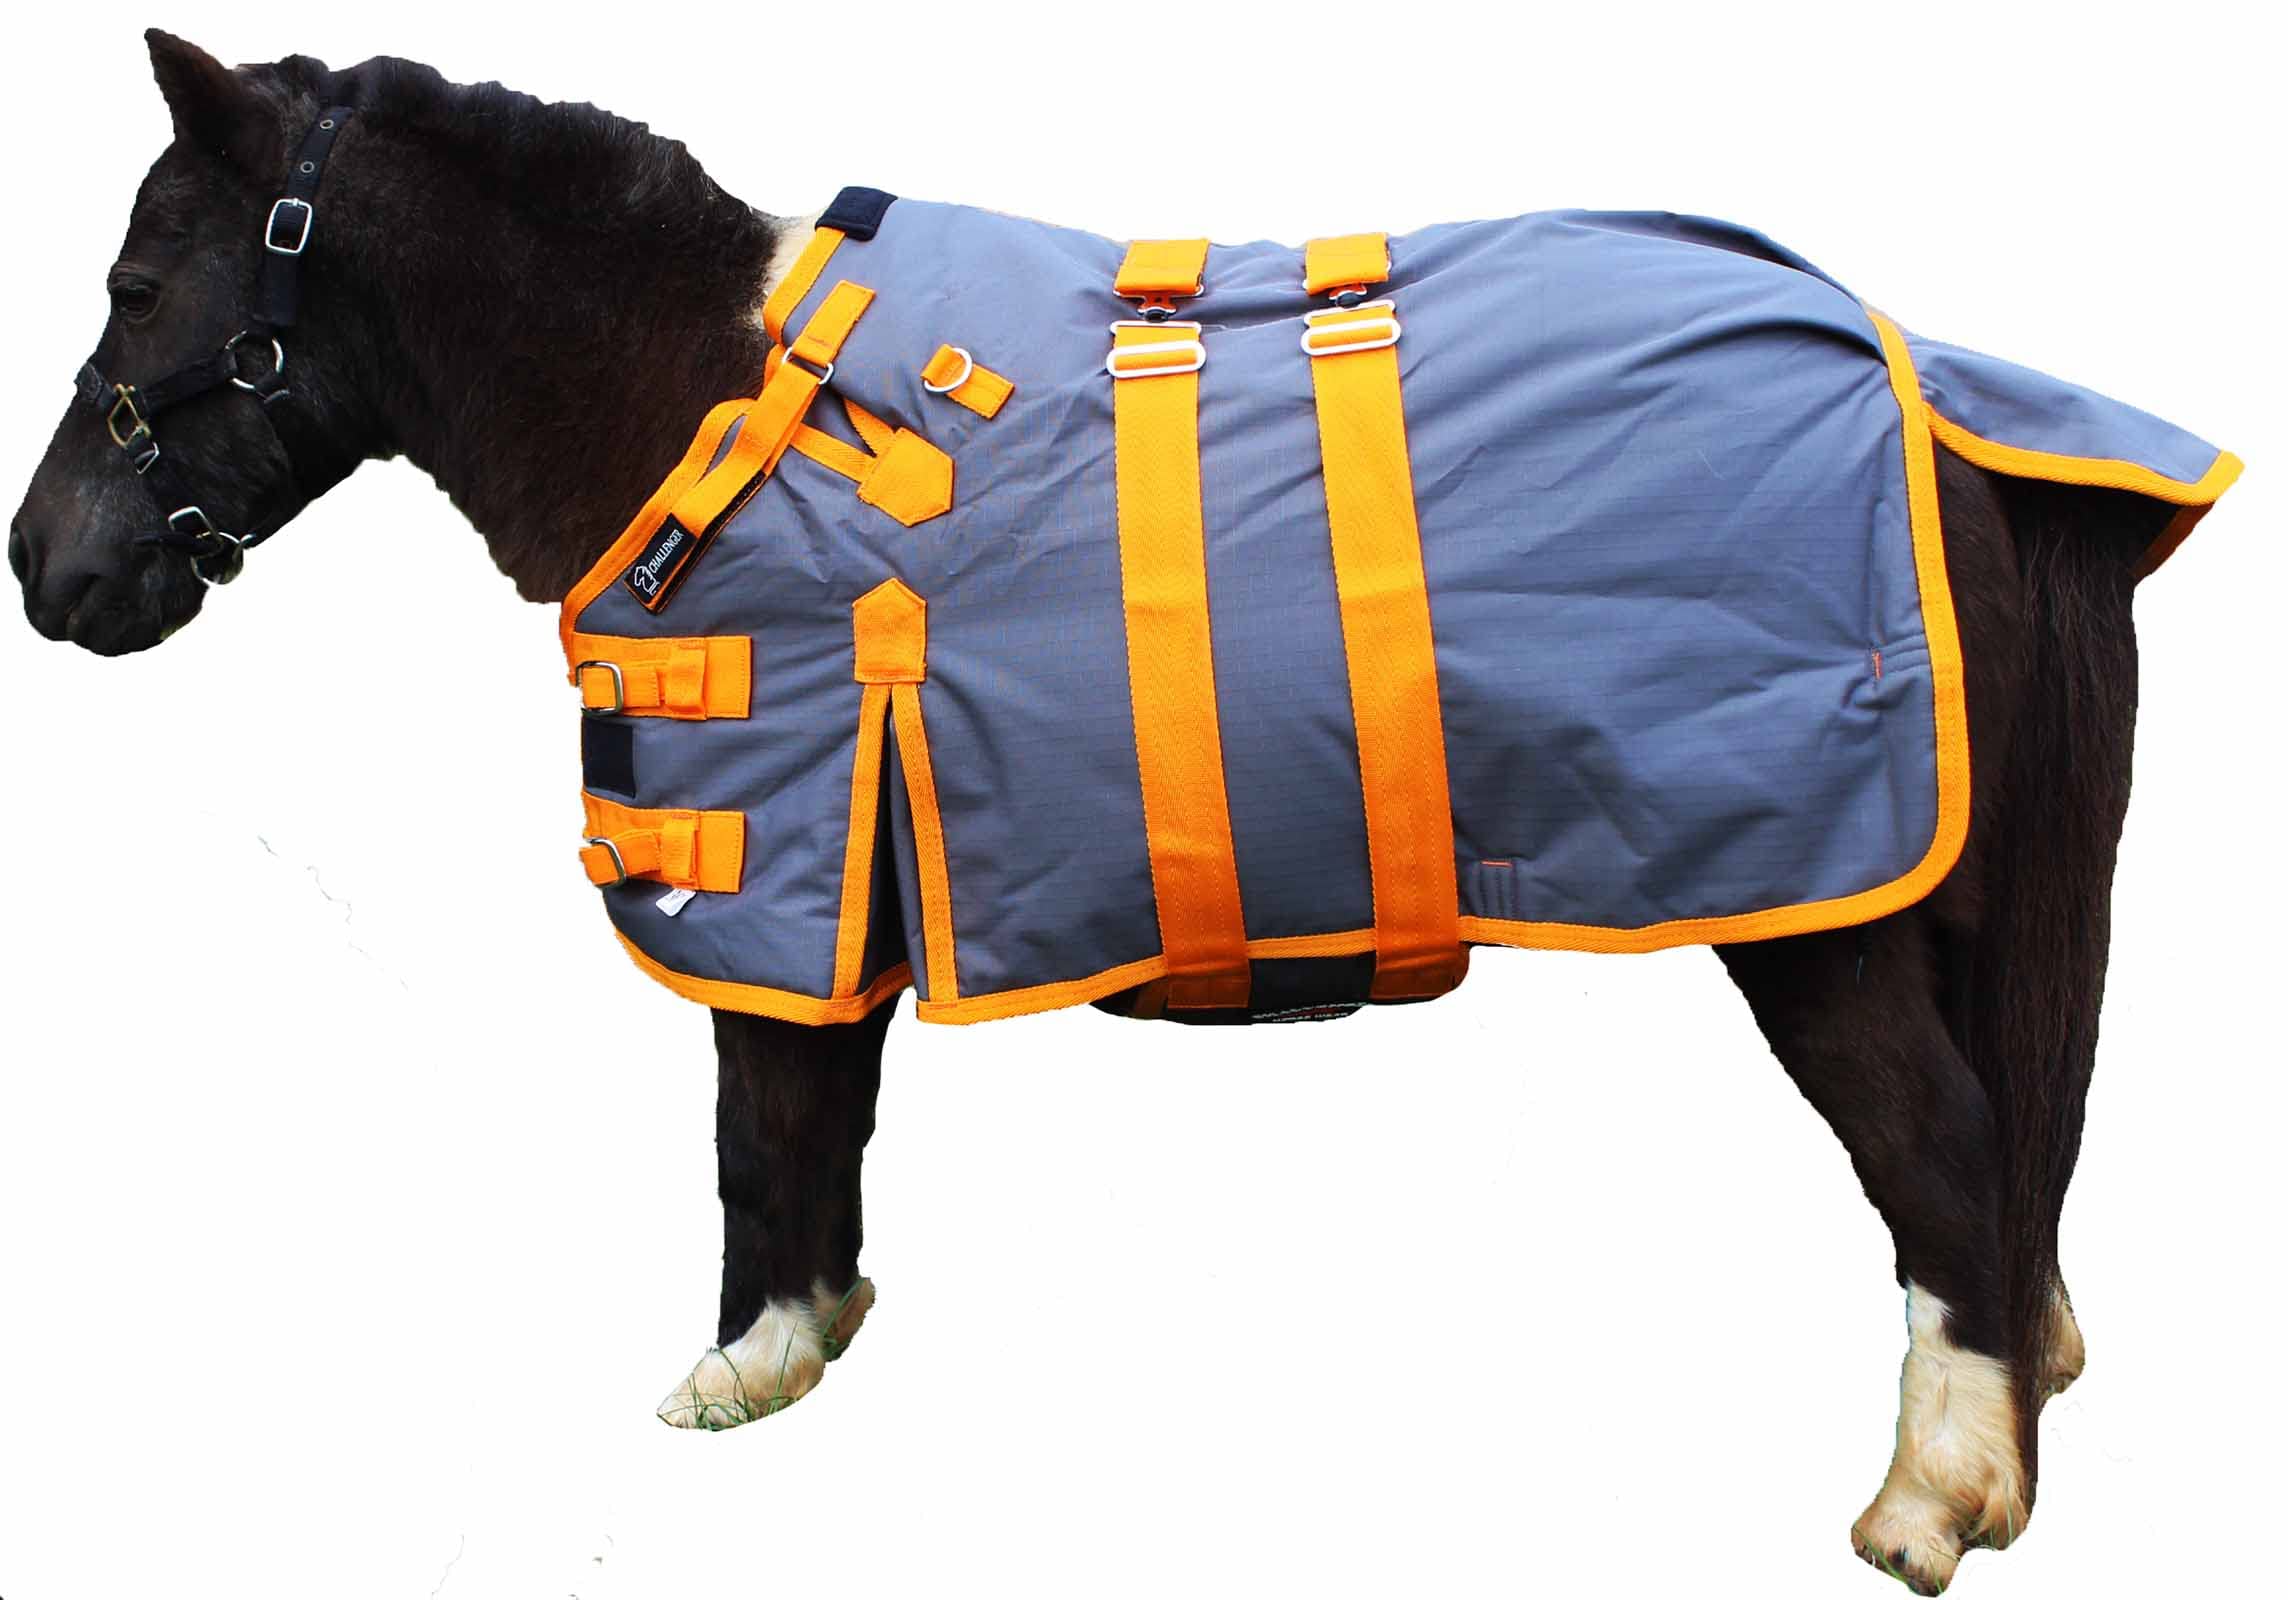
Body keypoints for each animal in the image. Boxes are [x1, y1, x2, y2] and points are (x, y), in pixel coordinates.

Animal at [7, 33, 2219, 1595]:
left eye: (138, 276)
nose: (45, 567)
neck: (696, 404)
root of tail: (1923, 386)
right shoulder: (841, 869)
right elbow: (817, 1118)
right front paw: (808, 1336)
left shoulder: (783, 858)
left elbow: (758, 1114)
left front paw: (739, 1363)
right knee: (1998, 1168)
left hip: (1814, 906)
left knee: (1941, 1155)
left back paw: (1933, 1495)